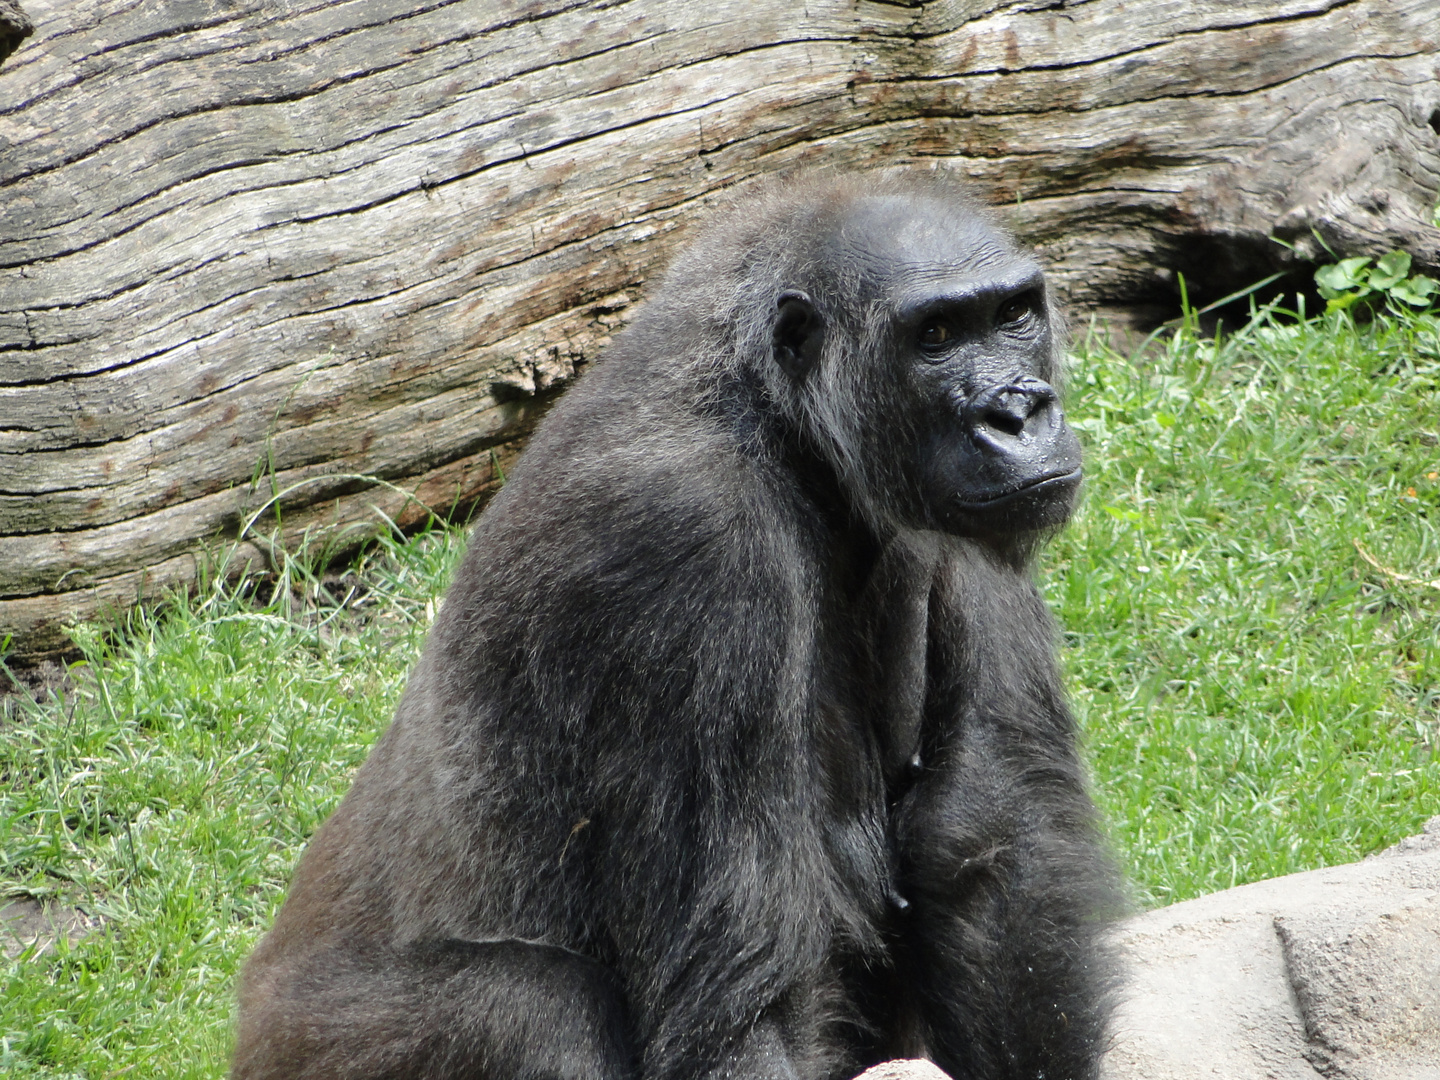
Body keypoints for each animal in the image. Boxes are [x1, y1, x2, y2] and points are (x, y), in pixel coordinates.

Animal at [236, 167, 1117, 1080]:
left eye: (1011, 316)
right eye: (935, 335)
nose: (1018, 412)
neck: (785, 423)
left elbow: (994, 848)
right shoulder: (693, 540)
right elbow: (744, 998)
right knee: (536, 1008)